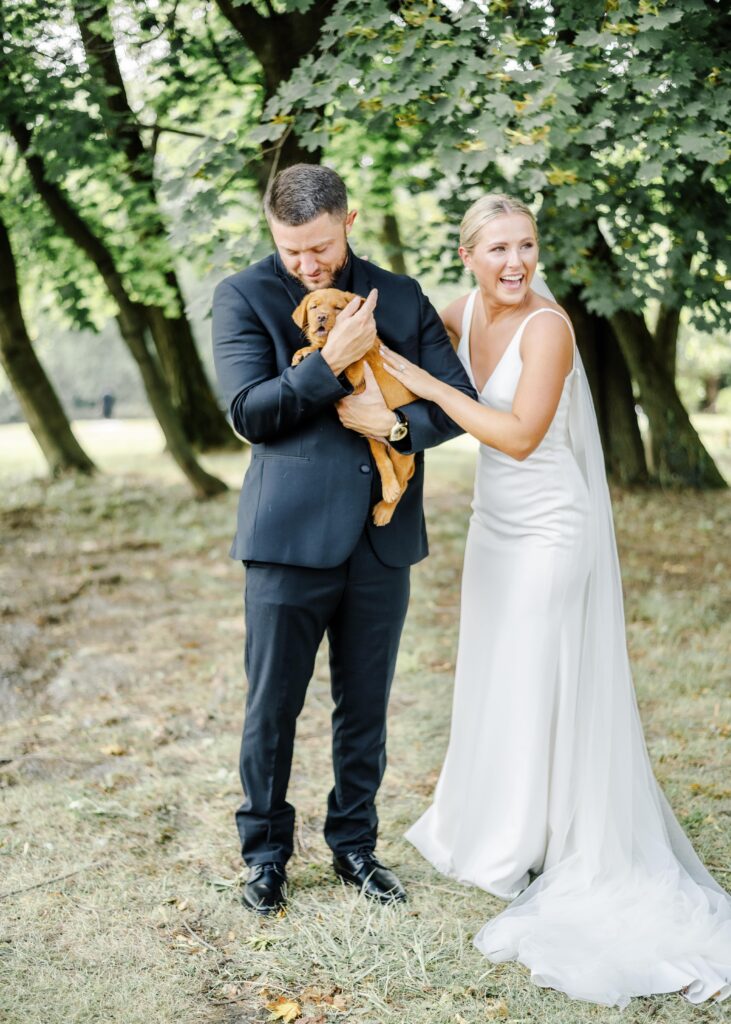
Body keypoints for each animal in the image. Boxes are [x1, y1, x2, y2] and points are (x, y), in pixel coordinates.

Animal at [290, 288, 415, 528]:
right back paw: (388, 489)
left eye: (338, 308)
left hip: (401, 455)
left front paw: (312, 349)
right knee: (381, 459)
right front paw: (302, 352)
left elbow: (339, 356)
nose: (321, 317)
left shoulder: (356, 369)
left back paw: (386, 507)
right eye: (314, 307)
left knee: (403, 481)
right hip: (373, 437)